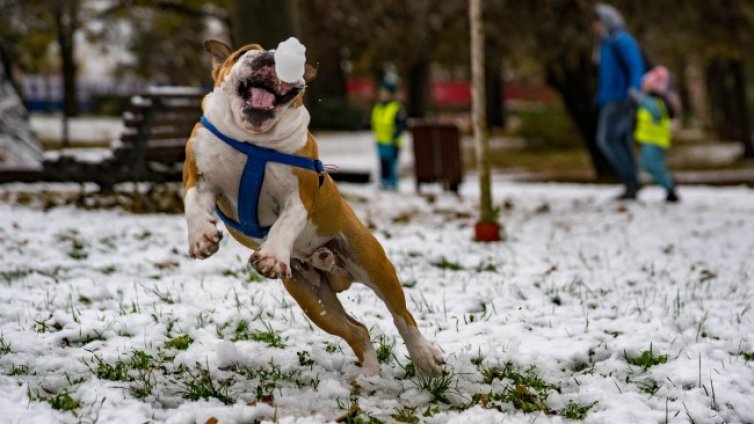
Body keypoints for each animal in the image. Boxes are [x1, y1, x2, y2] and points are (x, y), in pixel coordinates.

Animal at [181, 39, 440, 376]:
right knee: (357, 331)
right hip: (314, 299)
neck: (252, 141)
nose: (272, 56)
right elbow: (193, 205)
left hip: (374, 264)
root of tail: (333, 268)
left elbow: (284, 224)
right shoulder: (198, 179)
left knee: (402, 316)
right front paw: (201, 238)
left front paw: (271, 257)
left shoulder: (298, 196)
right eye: (243, 53)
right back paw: (370, 377)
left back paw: (425, 357)